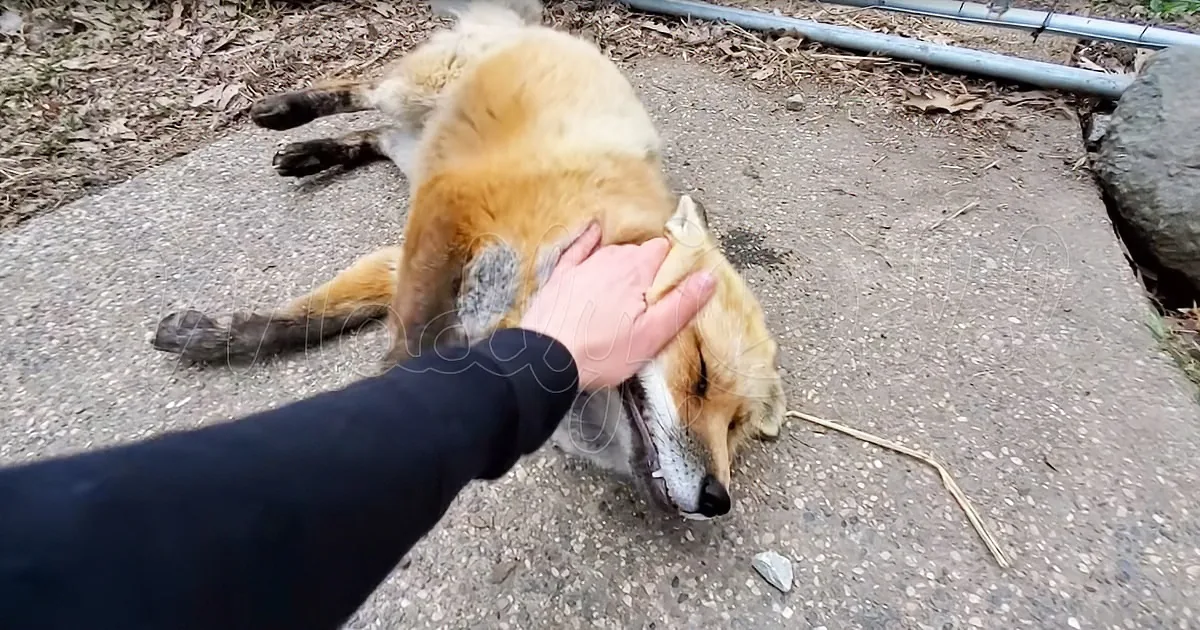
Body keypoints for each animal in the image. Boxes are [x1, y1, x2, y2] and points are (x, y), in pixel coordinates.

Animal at [151, 0, 788, 521]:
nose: (718, 499)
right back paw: (289, 109)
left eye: (736, 426)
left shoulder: (405, 256)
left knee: (373, 134)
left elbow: (300, 321)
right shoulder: (448, 210)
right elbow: (394, 339)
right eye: (700, 373)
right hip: (416, 96)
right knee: (363, 87)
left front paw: (213, 335)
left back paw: (316, 152)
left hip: (411, 148)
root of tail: (543, 31)